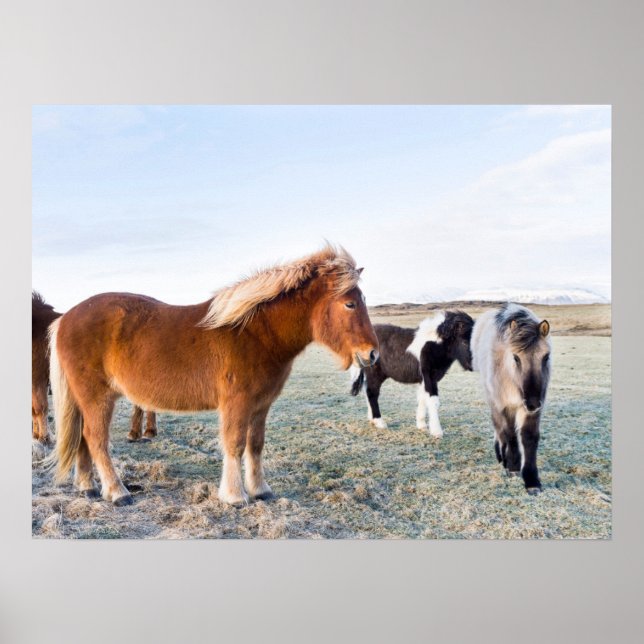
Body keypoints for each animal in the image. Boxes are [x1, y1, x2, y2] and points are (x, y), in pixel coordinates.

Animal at [32, 291, 157, 444]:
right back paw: (142, 432)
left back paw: (143, 432)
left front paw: (44, 437)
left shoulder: (37, 378)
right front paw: (36, 435)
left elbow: (40, 408)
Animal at [48, 244, 379, 506]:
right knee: (96, 439)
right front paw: (234, 496)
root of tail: (65, 319)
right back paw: (117, 493)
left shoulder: (261, 405)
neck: (256, 333)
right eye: (350, 303)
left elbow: (255, 444)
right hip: (97, 397)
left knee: (82, 439)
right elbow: (234, 443)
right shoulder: (237, 402)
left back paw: (88, 487)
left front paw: (260, 490)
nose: (373, 354)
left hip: (84, 399)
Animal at [470, 302, 551, 495]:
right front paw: (513, 466)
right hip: (493, 398)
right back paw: (502, 456)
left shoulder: (532, 410)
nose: (532, 402)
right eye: (516, 357)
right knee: (499, 428)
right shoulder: (505, 405)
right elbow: (510, 434)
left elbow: (529, 437)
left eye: (546, 357)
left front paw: (532, 480)